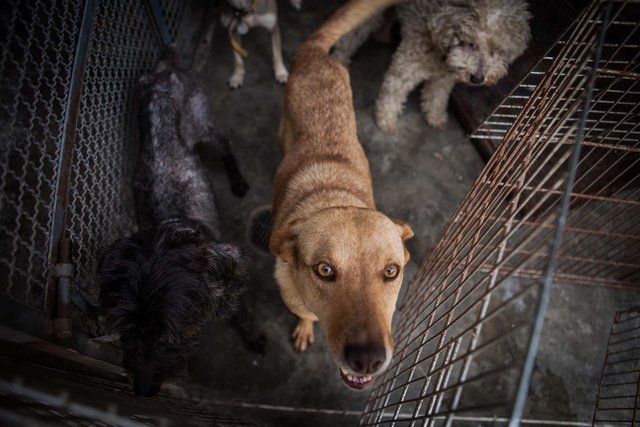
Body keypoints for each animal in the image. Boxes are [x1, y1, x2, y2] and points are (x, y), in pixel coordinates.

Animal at [98, 50, 260, 402]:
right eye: (126, 330)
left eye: (168, 335)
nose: (143, 391)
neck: (172, 233)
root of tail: (164, 69)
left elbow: (240, 314)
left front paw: (252, 336)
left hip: (203, 123)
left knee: (225, 145)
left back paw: (238, 181)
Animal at [268, 0, 410, 392]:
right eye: (325, 270)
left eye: (391, 271)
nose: (367, 359)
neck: (331, 196)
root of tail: (316, 50)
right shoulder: (295, 299)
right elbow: (305, 316)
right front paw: (305, 328)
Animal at [332, 0, 532, 132]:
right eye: (471, 43)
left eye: (497, 50)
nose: (477, 79)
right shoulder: (407, 64)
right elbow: (393, 91)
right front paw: (386, 119)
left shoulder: (445, 77)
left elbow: (438, 95)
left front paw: (435, 116)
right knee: (352, 31)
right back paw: (338, 59)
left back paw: (382, 35)